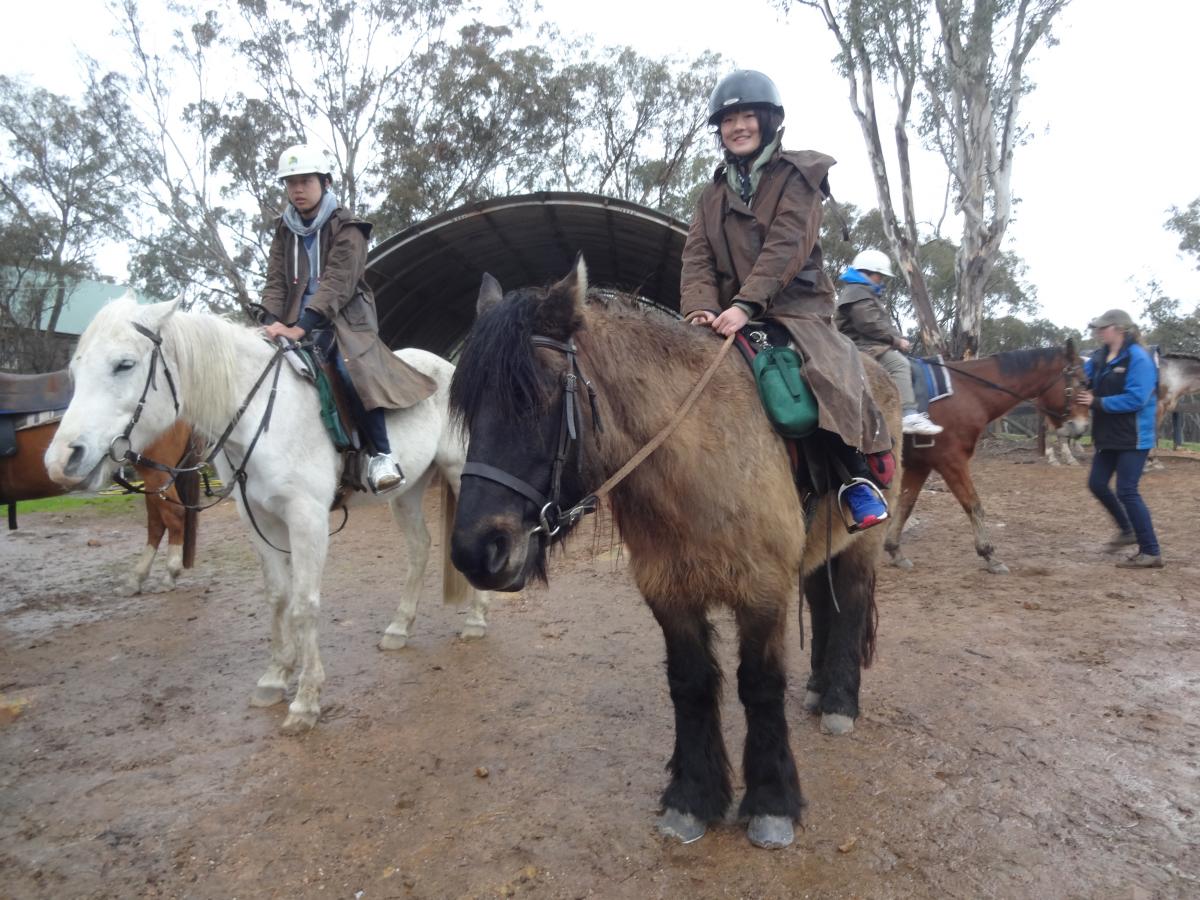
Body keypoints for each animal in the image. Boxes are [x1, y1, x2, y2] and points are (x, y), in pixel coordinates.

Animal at [43, 300, 487, 734]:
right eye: (74, 371)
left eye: (124, 364)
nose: (62, 461)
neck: (260, 414)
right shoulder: (257, 517)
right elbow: (278, 596)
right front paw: (275, 677)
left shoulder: (307, 517)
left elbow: (304, 603)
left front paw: (306, 701)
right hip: (407, 492)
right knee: (419, 549)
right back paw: (399, 628)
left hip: (457, 472)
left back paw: (476, 621)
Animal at [448, 260, 902, 854]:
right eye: (467, 406)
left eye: (537, 396)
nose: (476, 551)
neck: (698, 455)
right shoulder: (668, 590)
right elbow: (689, 684)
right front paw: (693, 797)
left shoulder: (762, 591)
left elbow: (759, 686)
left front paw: (772, 804)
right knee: (826, 604)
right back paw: (820, 688)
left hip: (863, 542)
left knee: (848, 603)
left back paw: (841, 703)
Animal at [883, 340, 1089, 573]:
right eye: (1083, 381)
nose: (1082, 427)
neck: (967, 392)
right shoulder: (951, 461)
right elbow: (973, 504)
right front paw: (988, 553)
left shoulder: (921, 465)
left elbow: (905, 505)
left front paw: (895, 550)